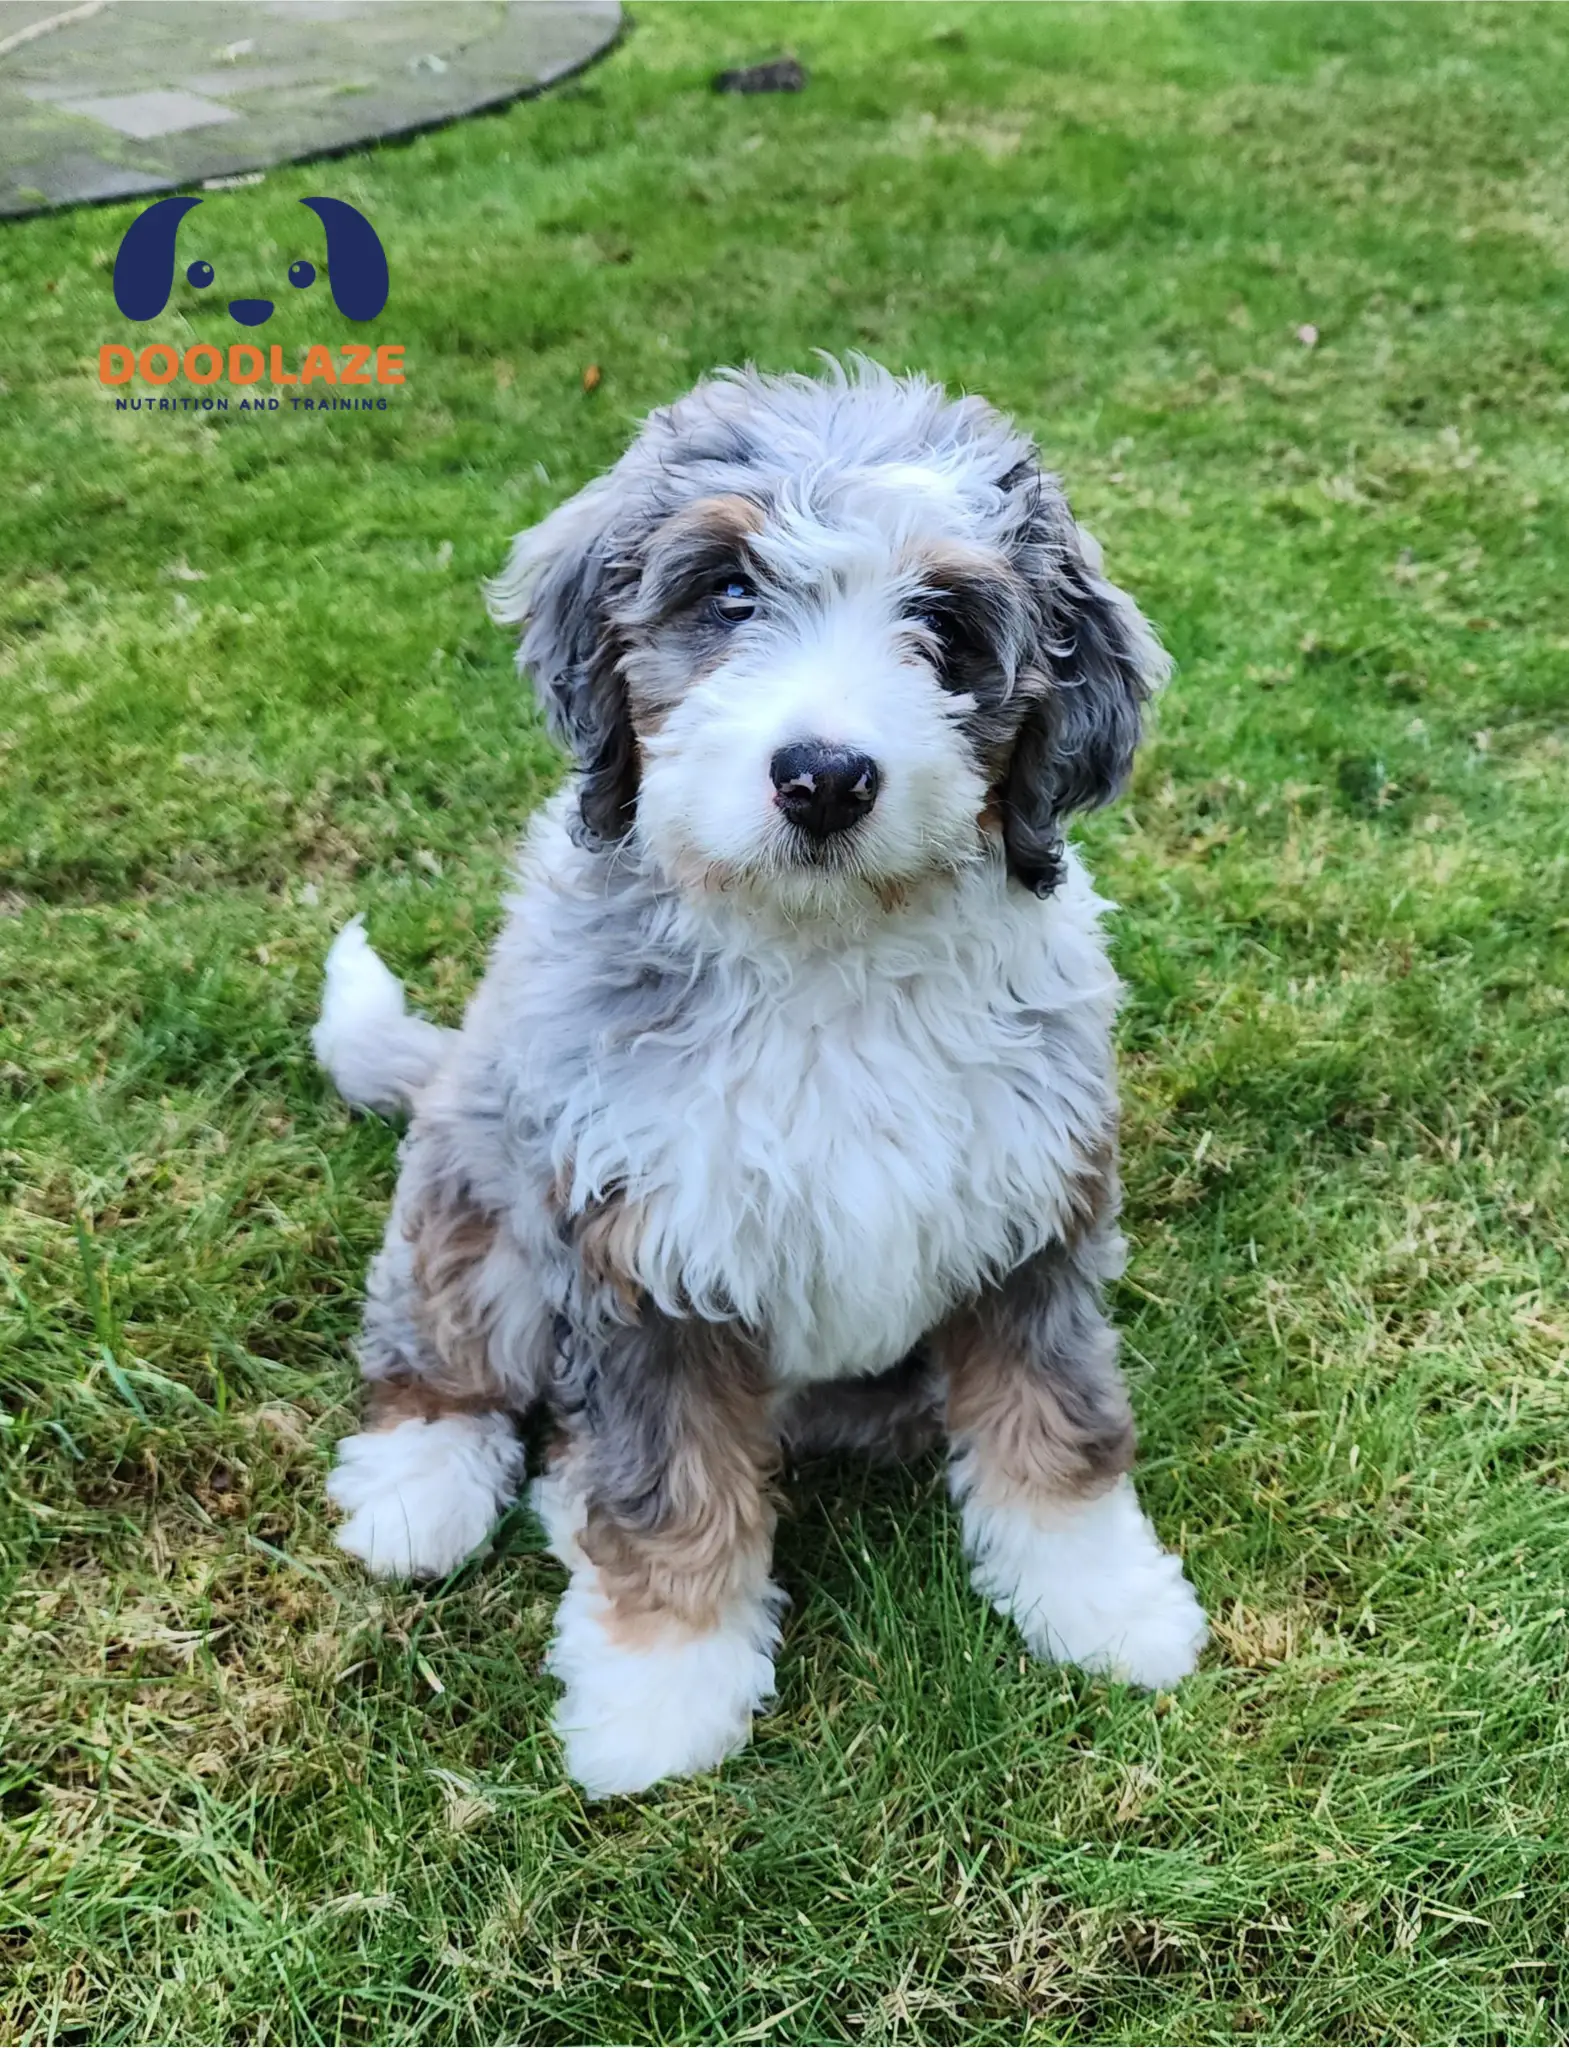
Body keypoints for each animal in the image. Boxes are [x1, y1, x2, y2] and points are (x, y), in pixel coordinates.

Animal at [313, 356, 1212, 1794]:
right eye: (729, 596)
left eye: (945, 626)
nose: (825, 777)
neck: (823, 958)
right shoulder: (640, 1258)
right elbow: (665, 1484)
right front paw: (660, 1690)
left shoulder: (1034, 1216)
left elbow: (1058, 1420)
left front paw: (1104, 1598)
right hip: (478, 1202)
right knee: (442, 1356)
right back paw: (418, 1493)